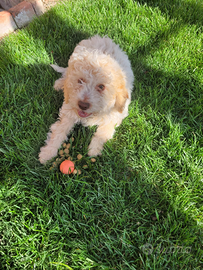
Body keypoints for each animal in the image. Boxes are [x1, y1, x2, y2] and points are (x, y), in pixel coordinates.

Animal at [38, 34, 134, 163]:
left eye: (101, 87)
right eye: (80, 81)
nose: (83, 105)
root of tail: (101, 38)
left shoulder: (116, 115)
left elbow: (104, 131)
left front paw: (94, 149)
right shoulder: (69, 110)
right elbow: (59, 130)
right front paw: (47, 153)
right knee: (66, 75)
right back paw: (59, 84)